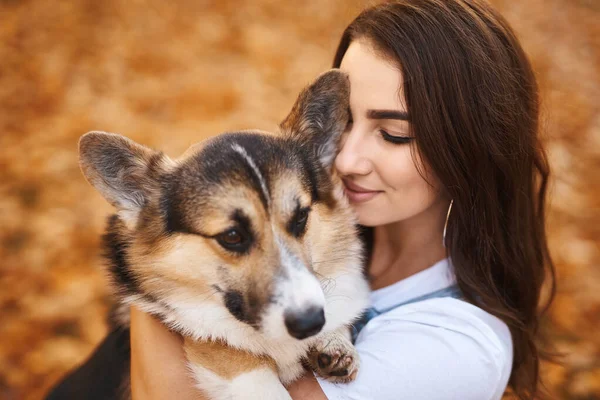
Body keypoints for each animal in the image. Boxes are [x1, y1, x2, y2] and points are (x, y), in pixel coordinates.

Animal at [52, 69, 370, 400]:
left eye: (301, 218)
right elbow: (231, 351)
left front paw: (332, 340)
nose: (310, 323)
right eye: (232, 236)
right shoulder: (200, 330)